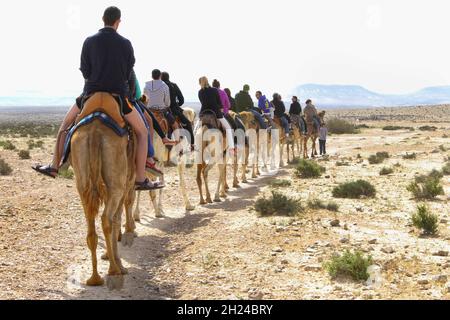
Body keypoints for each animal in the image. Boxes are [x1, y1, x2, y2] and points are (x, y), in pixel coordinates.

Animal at [70, 92, 136, 290]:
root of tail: (95, 132)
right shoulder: (126, 184)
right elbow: (117, 218)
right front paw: (119, 264)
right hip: (116, 184)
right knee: (107, 218)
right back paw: (114, 271)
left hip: (82, 181)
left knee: (90, 222)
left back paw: (94, 278)